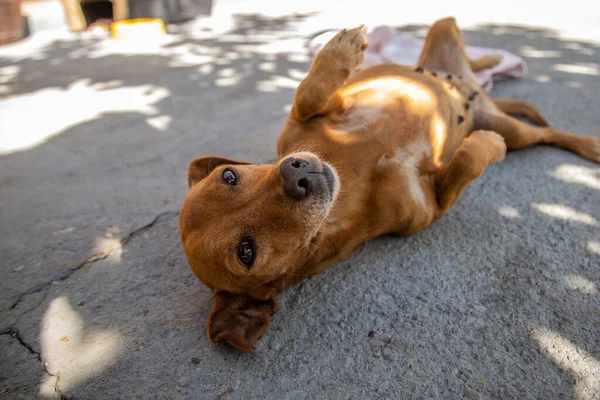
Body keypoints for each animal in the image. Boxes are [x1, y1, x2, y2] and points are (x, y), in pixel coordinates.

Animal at [179, 17, 600, 352]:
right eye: (245, 252)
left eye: (229, 176)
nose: (296, 174)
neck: (349, 187)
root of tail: (482, 95)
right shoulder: (432, 207)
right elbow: (466, 161)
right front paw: (486, 146)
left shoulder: (314, 116)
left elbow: (306, 94)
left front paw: (341, 49)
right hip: (513, 130)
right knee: (541, 134)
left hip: (443, 33)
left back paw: (488, 65)